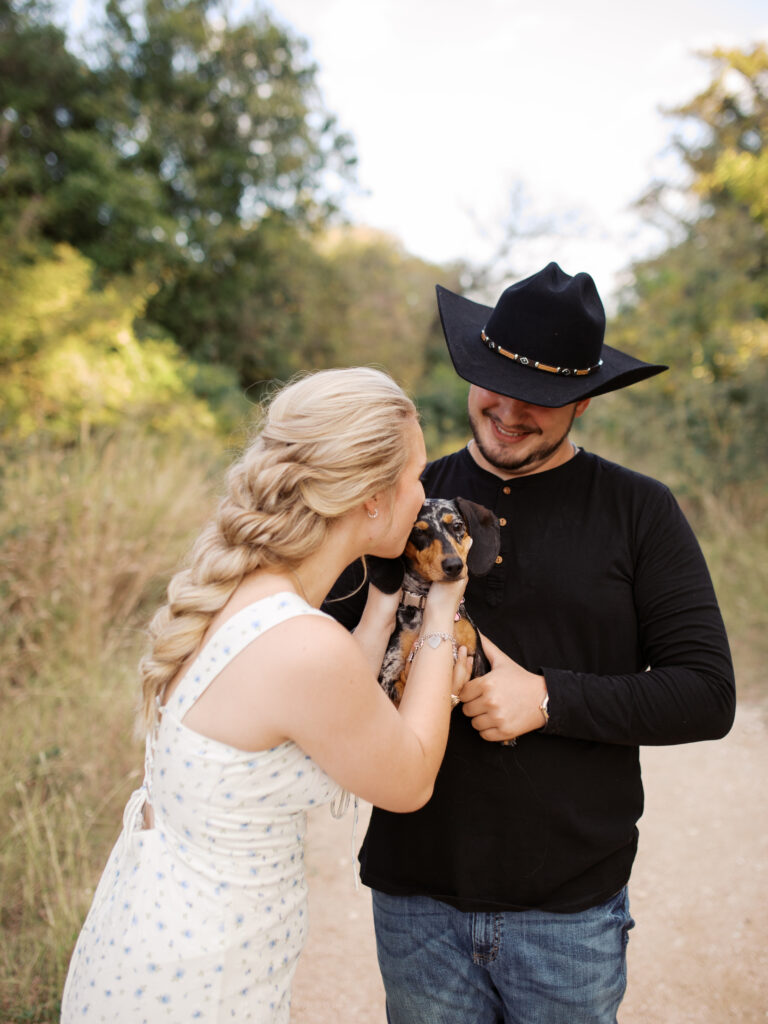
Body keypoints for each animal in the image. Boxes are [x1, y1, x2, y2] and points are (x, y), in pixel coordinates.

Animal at [370, 499, 501, 708]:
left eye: (457, 525)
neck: (424, 604)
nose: (454, 566)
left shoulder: (478, 663)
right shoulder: (389, 676)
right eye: (418, 531)